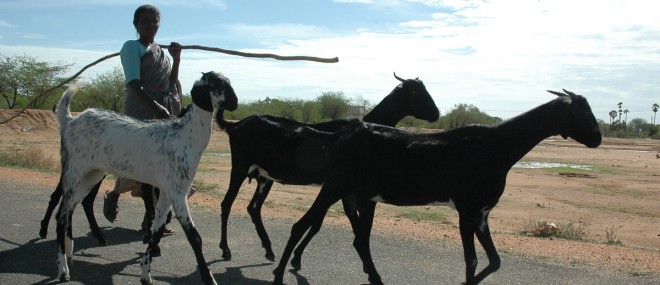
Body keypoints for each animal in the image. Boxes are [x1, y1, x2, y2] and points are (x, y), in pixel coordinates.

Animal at [215, 72, 438, 260]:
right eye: (414, 91)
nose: (436, 113)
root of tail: (235, 125)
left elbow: (321, 222)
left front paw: (296, 256)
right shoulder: (339, 187)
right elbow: (324, 222)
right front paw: (297, 258)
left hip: (265, 176)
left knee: (254, 207)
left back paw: (269, 249)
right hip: (240, 167)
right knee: (227, 204)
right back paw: (226, 249)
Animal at [270, 89, 600, 284]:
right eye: (580, 111)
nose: (597, 138)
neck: (498, 146)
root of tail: (340, 135)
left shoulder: (481, 214)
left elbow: (494, 262)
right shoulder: (467, 210)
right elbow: (472, 260)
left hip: (357, 193)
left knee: (357, 240)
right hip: (335, 186)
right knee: (301, 226)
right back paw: (278, 273)